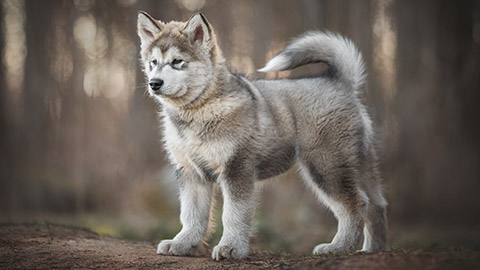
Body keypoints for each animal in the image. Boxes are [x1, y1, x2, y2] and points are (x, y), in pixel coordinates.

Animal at [137, 11, 388, 262]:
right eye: (153, 63)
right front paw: (183, 243)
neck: (197, 111)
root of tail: (339, 82)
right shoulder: (190, 172)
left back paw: (339, 247)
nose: (154, 83)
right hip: (359, 164)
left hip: (326, 166)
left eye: (177, 61)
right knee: (377, 203)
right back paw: (373, 249)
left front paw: (230, 248)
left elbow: (233, 214)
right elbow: (191, 214)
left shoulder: (237, 168)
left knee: (356, 204)